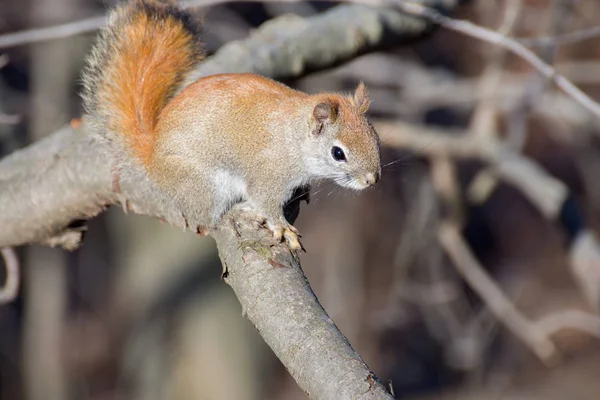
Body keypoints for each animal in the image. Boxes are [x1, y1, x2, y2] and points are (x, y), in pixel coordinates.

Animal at [81, 0, 380, 250]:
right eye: (338, 153)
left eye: (376, 139)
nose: (372, 180)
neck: (293, 138)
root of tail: (153, 157)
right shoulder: (268, 173)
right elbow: (265, 201)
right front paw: (282, 227)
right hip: (204, 185)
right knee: (209, 218)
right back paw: (237, 212)